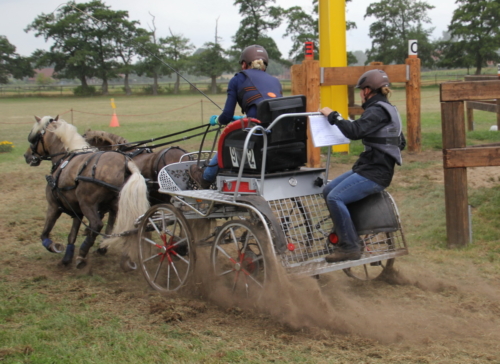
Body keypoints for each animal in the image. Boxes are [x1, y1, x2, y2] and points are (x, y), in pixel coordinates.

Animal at [25, 115, 149, 268]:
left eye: (34, 136)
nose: (27, 156)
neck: (64, 158)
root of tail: (126, 163)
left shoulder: (54, 206)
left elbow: (45, 233)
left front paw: (53, 246)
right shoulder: (76, 210)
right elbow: (72, 235)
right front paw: (67, 258)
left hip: (87, 203)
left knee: (97, 224)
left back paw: (83, 254)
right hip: (117, 205)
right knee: (124, 226)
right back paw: (123, 257)